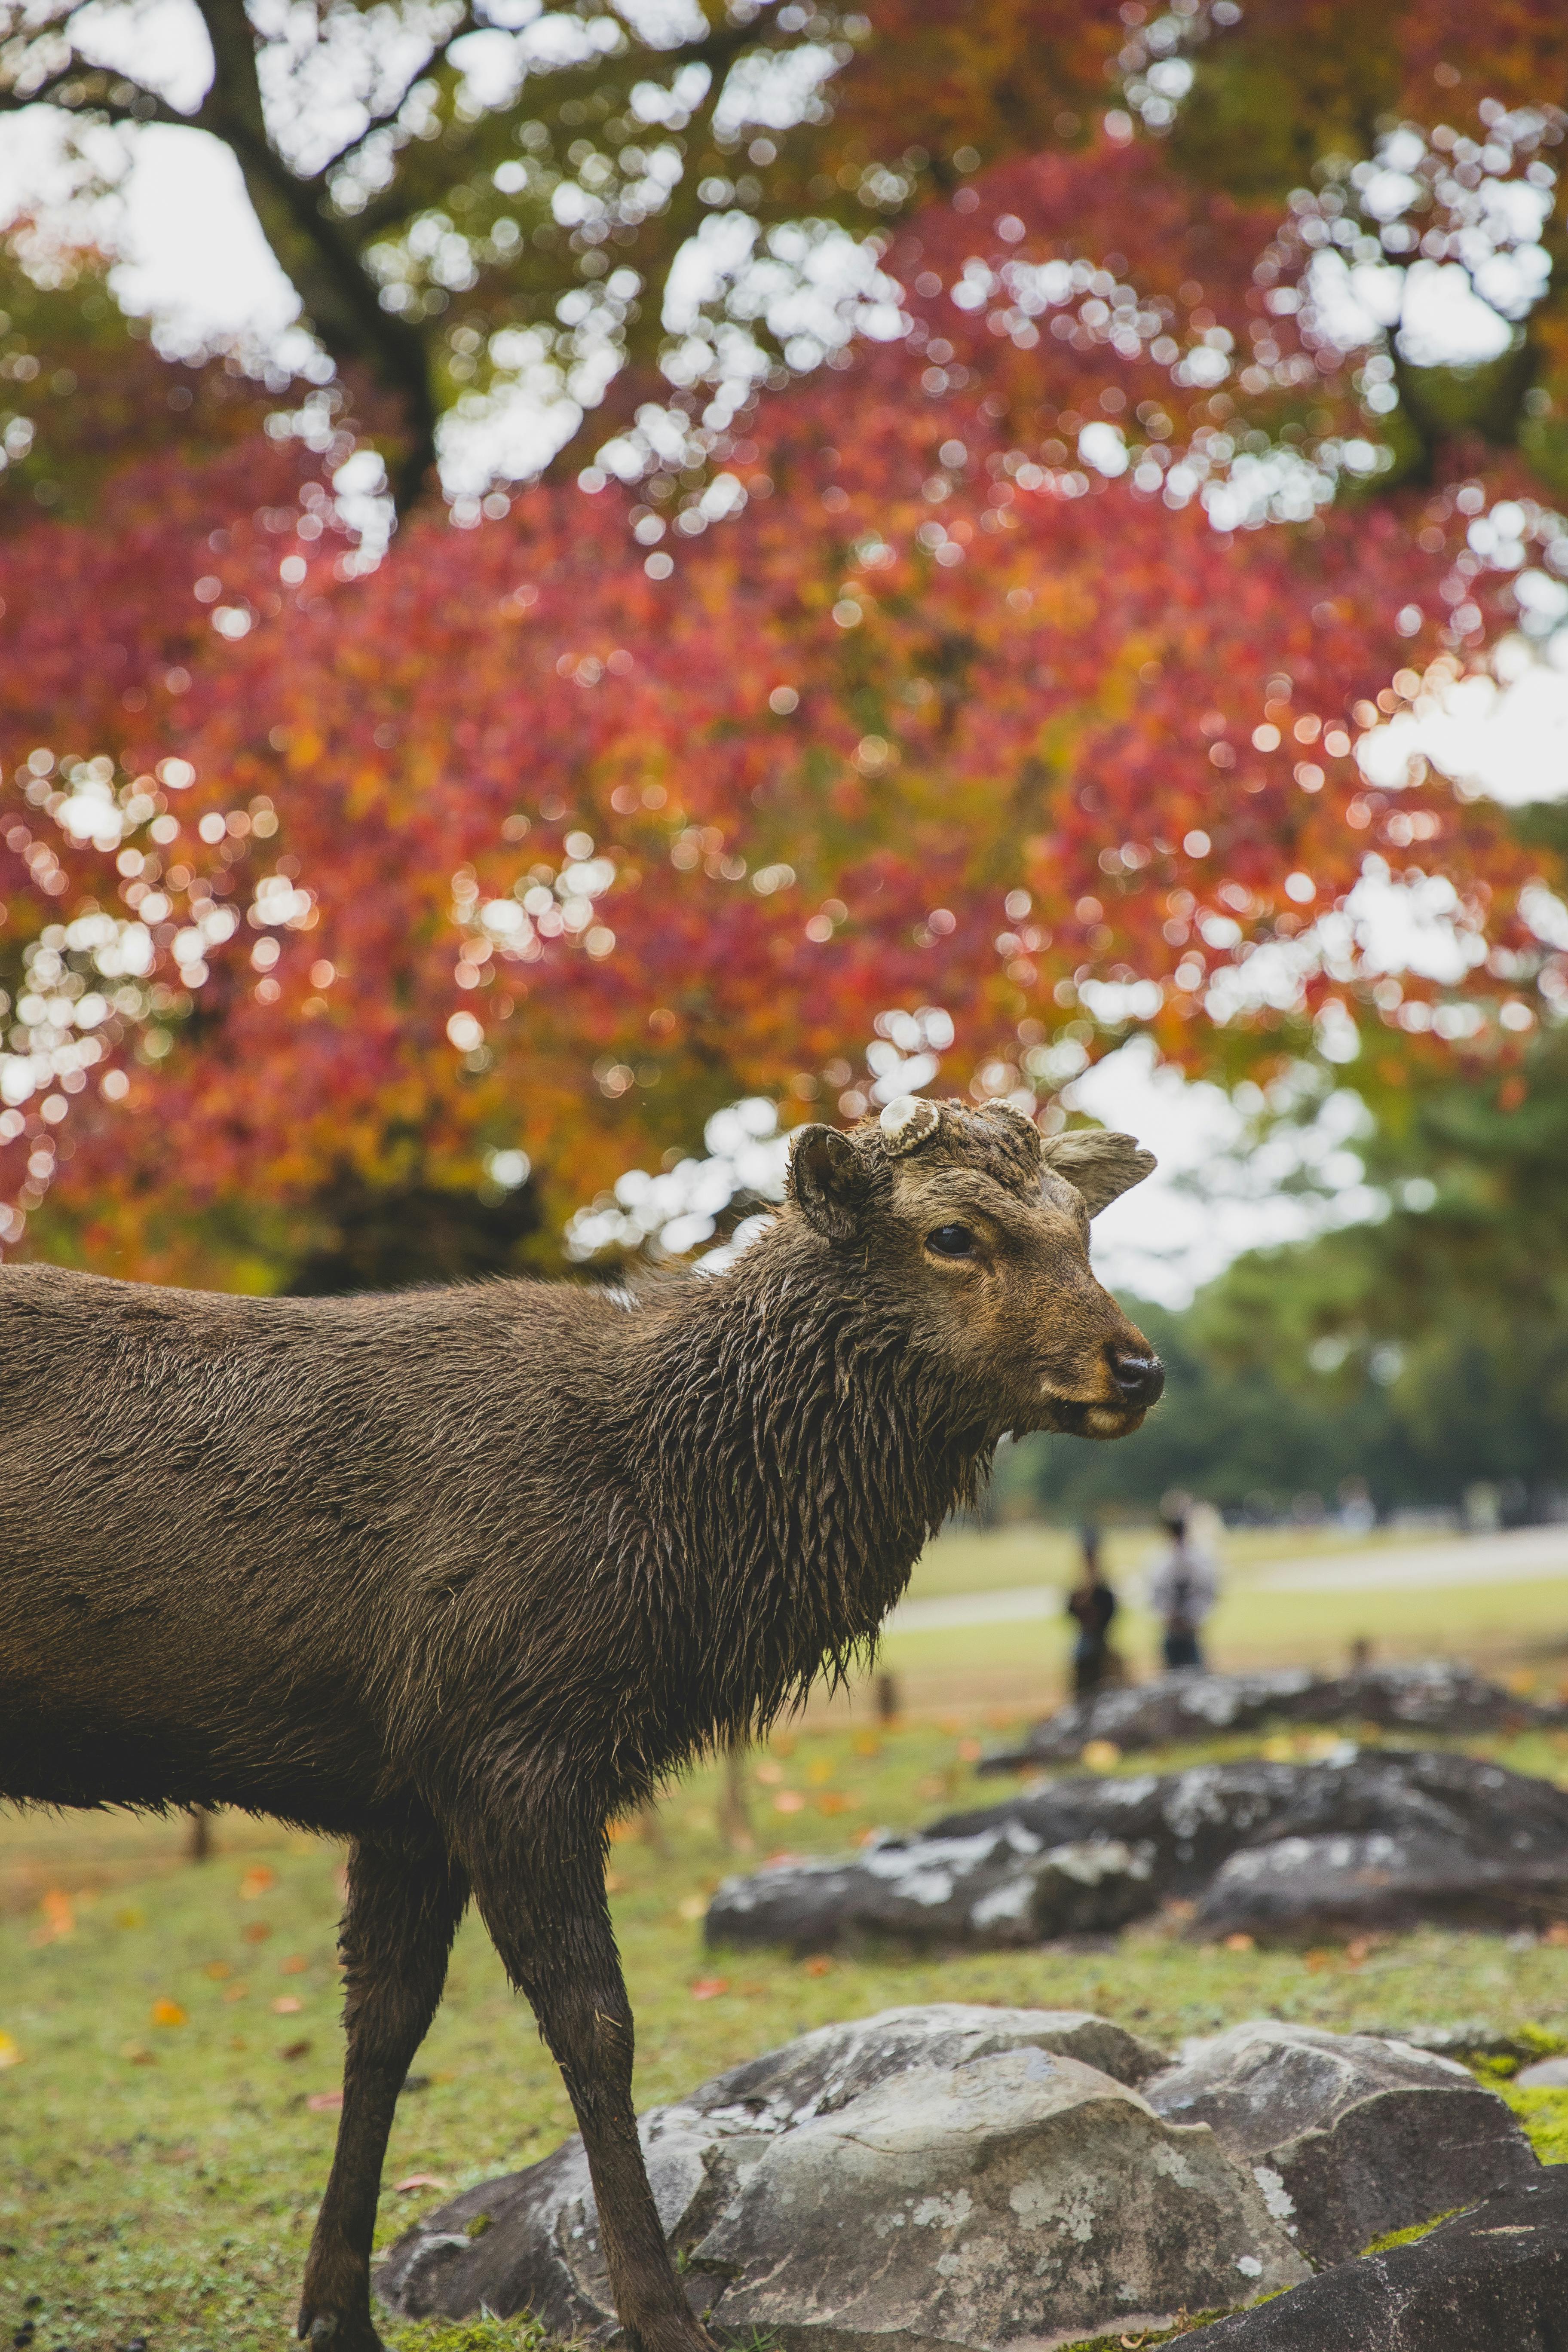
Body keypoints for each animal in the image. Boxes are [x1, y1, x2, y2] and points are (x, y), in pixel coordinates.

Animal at [0, 1096, 1162, 2352]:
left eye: (1082, 1225)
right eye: (953, 1233)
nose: (1138, 1364)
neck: (676, 1535)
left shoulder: (407, 1787)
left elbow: (384, 2022)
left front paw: (335, 2310)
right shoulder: (509, 1740)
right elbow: (596, 2021)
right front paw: (662, 2311)